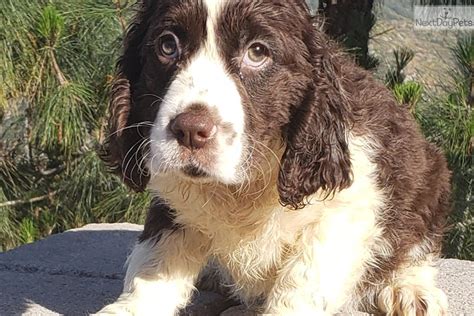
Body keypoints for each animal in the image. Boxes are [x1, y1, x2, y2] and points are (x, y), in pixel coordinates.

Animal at [98, 0, 450, 314]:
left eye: (258, 52)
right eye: (167, 45)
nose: (189, 130)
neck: (239, 188)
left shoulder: (347, 207)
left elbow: (305, 279)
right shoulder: (172, 201)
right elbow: (155, 260)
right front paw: (128, 308)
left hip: (428, 178)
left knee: (415, 248)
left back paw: (408, 289)